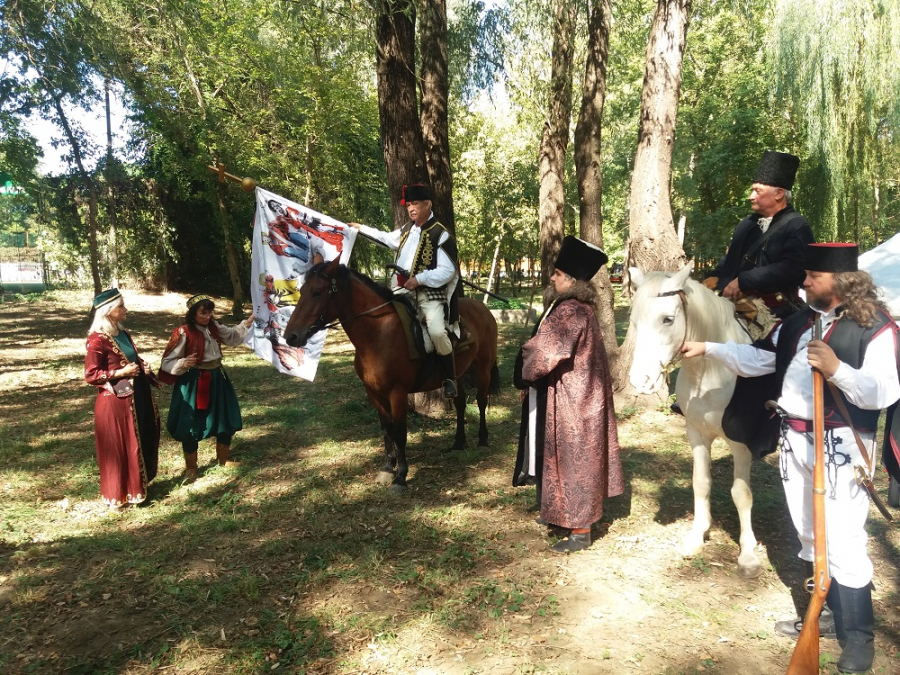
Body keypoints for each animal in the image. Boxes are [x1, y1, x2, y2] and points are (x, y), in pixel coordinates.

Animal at [284, 258, 500, 492]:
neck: (379, 333)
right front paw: (388, 468)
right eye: (302, 290)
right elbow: (386, 429)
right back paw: (459, 443)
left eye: (317, 292)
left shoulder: (397, 392)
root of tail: (483, 309)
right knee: (460, 403)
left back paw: (483, 441)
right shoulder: (373, 392)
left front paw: (401, 477)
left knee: (481, 400)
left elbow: (399, 432)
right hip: (458, 374)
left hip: (483, 367)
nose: (290, 336)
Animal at [628, 262, 764, 580]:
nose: (640, 381)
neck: (713, 369)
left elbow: (741, 494)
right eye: (633, 320)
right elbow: (700, 482)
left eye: (667, 319)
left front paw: (748, 555)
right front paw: (697, 536)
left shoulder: (740, 443)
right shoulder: (697, 434)